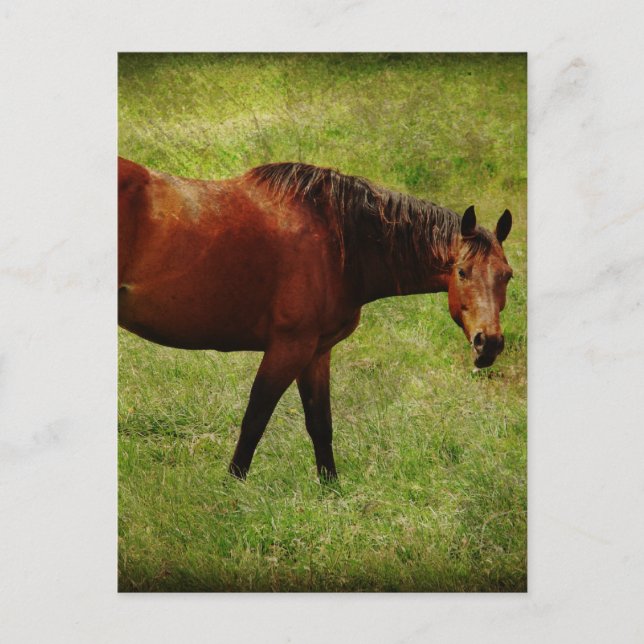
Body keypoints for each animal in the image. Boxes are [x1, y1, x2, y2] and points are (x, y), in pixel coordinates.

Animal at [118, 158, 513, 481]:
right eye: (462, 272)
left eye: (507, 275)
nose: (489, 343)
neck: (336, 238)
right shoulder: (289, 347)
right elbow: (255, 419)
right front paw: (232, 487)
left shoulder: (317, 352)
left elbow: (320, 424)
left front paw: (331, 490)